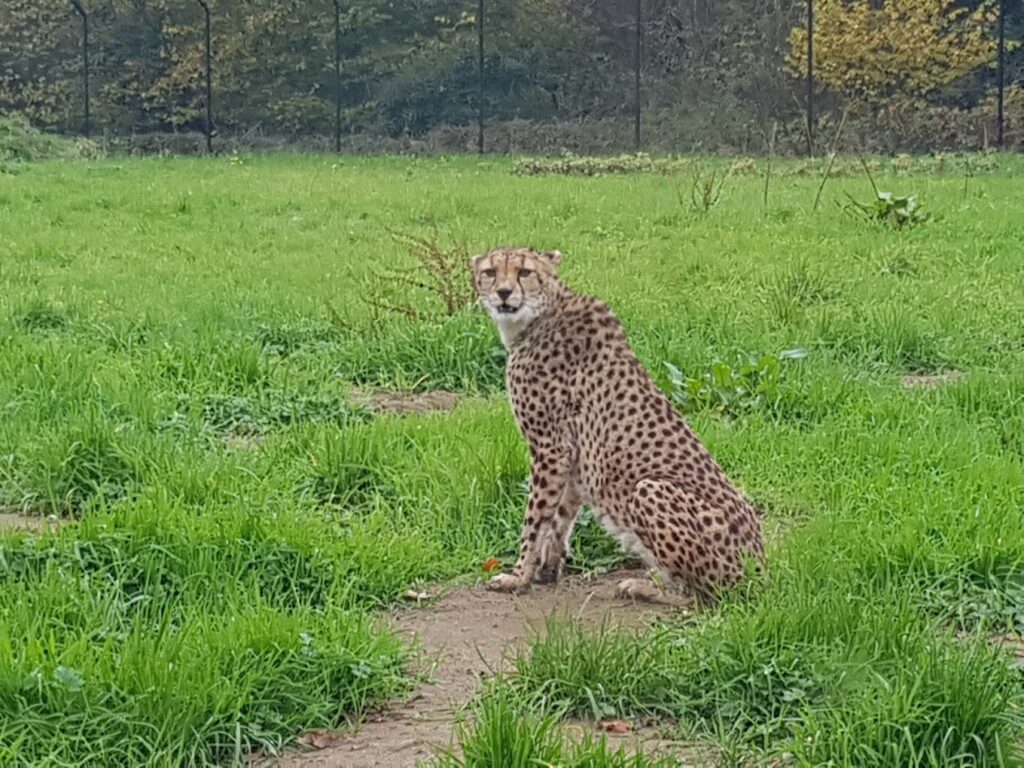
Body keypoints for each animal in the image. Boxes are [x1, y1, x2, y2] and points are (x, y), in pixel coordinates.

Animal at [471, 245, 764, 606]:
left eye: (525, 272)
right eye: (490, 272)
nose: (503, 292)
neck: (540, 315)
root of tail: (761, 566)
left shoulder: (549, 448)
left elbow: (535, 519)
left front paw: (518, 575)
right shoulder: (572, 456)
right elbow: (561, 515)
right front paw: (547, 569)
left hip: (650, 489)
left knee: (703, 596)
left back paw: (643, 587)